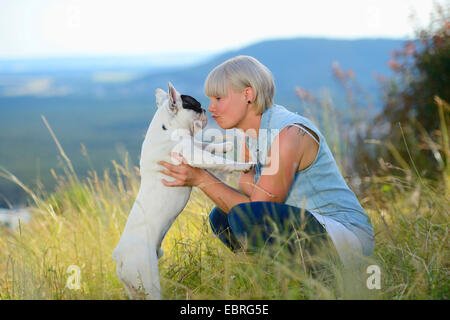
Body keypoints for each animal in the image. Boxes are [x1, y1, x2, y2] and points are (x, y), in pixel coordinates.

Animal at [112, 83, 253, 300]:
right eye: (196, 106)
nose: (205, 110)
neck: (167, 128)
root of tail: (119, 259)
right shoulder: (191, 153)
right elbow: (217, 161)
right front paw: (242, 165)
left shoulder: (194, 146)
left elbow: (207, 145)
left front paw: (225, 145)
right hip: (149, 281)